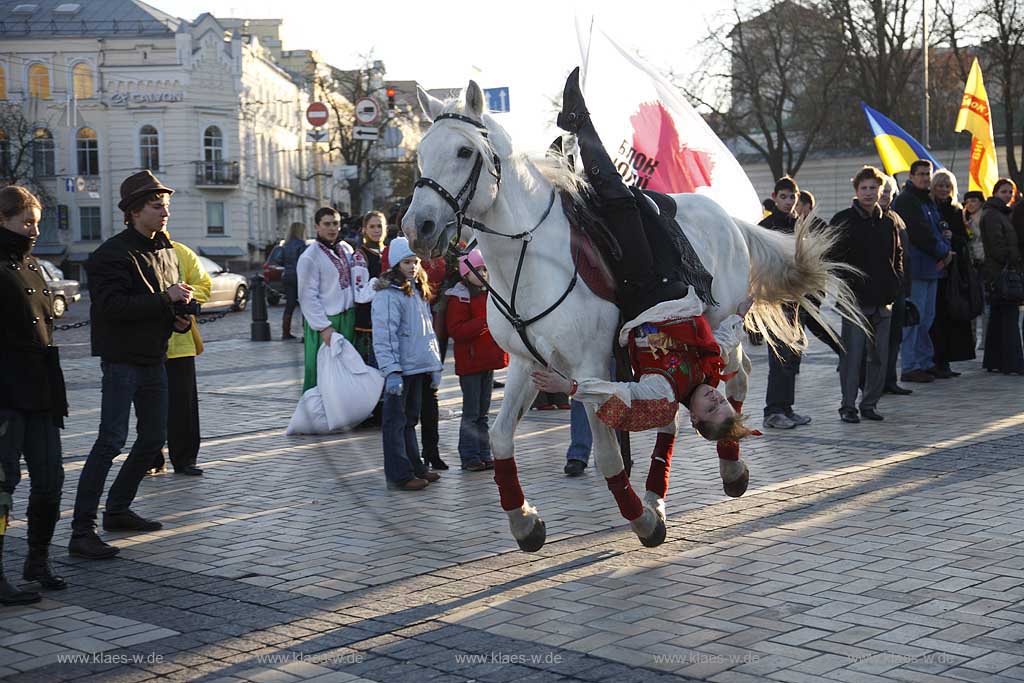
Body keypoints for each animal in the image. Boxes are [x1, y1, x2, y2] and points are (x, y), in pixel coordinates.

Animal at [399, 80, 856, 552]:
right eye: (421, 154)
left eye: (464, 152)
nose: (418, 228)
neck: (528, 259)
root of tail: (728, 218)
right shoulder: (527, 364)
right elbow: (500, 437)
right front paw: (525, 522)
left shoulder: (590, 365)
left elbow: (606, 452)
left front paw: (643, 521)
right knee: (685, 407)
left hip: (721, 315)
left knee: (739, 375)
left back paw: (730, 469)